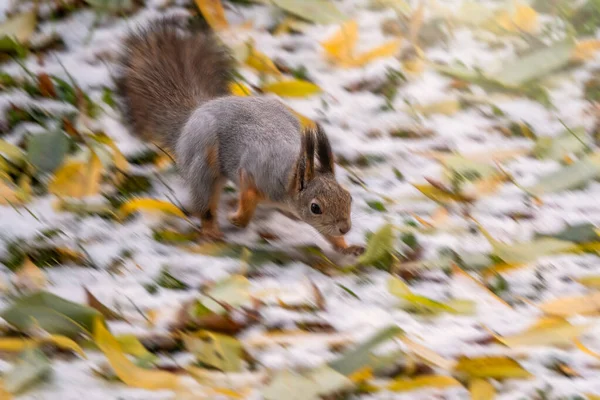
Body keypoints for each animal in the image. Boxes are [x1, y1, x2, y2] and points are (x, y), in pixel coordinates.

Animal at [115, 17, 364, 255]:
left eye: (348, 197)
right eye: (315, 207)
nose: (345, 228)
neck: (289, 175)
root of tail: (196, 112)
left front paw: (346, 247)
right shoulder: (254, 176)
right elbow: (249, 198)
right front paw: (239, 219)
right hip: (203, 160)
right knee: (205, 202)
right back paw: (211, 230)